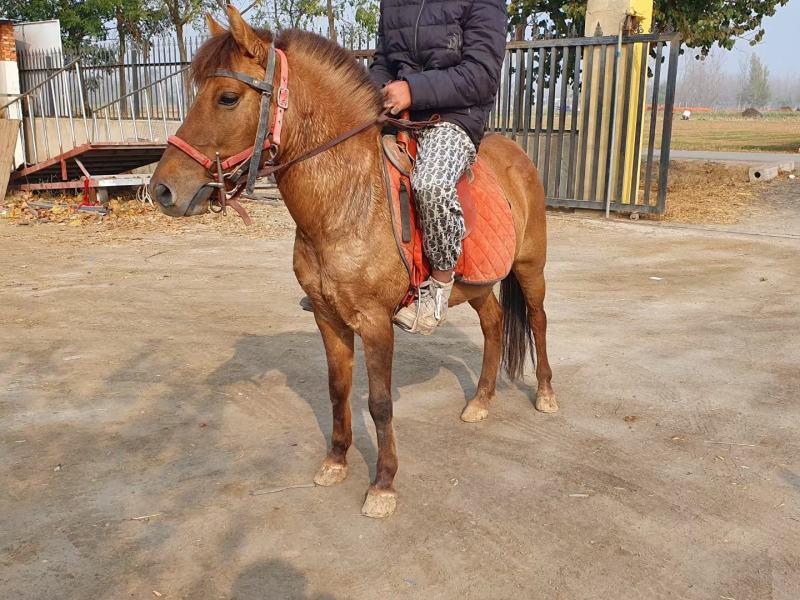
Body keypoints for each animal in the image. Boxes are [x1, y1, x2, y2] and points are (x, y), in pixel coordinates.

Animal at [149, 5, 557, 518]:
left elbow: (379, 402)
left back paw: (545, 394)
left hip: (530, 268)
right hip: (478, 284)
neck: (347, 200)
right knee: (494, 323)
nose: (162, 190)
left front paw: (382, 484)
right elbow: (337, 389)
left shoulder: (376, 322)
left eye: (227, 97)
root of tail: (518, 154)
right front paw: (336, 461)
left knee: (538, 321)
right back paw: (481, 401)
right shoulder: (328, 317)